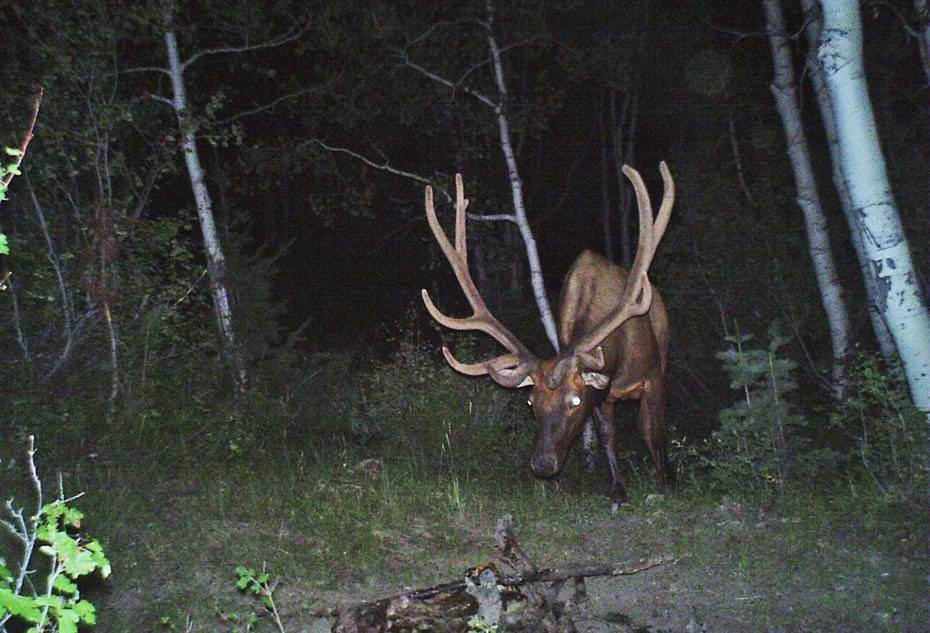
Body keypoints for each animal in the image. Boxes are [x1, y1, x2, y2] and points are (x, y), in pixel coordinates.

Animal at [422, 162, 676, 508]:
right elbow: (607, 434)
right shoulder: (603, 392)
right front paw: (618, 492)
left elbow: (655, 432)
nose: (542, 465)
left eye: (574, 400)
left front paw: (664, 484)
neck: (618, 357)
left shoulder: (651, 376)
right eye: (531, 402)